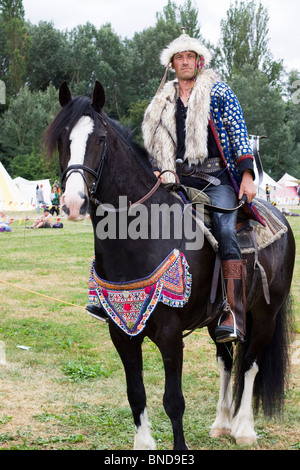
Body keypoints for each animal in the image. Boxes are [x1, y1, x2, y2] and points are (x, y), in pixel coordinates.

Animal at [44, 82, 296, 450]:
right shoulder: (121, 333)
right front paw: (144, 445)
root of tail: (278, 216)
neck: (141, 236)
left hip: (266, 314)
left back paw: (244, 428)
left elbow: (173, 400)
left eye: (100, 139)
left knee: (250, 364)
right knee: (226, 359)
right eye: (63, 139)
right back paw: (222, 423)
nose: (73, 203)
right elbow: (136, 394)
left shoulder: (170, 333)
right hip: (219, 319)